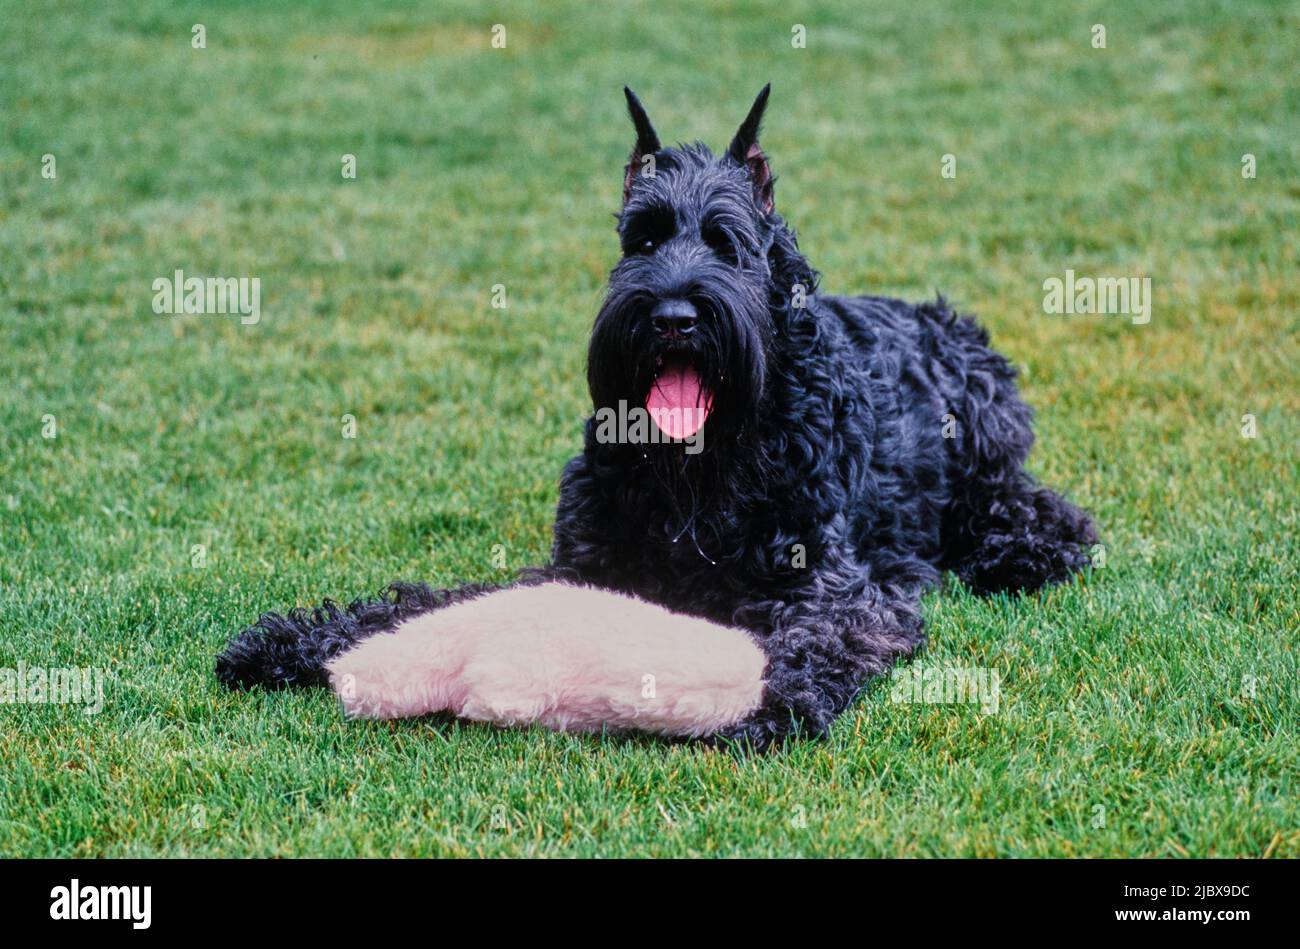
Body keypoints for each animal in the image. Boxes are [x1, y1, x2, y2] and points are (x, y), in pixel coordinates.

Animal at [218, 83, 1092, 748]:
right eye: (640, 239)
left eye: (727, 242)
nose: (672, 316)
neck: (711, 457)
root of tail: (945, 322)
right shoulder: (579, 568)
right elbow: (430, 600)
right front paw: (289, 641)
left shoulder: (835, 584)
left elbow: (820, 635)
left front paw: (770, 700)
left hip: (987, 460)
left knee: (1049, 516)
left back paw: (1020, 554)